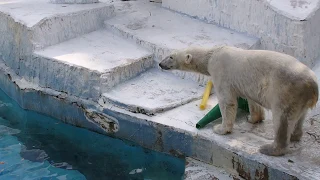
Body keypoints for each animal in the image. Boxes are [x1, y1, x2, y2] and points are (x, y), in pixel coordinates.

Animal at [159, 46, 318, 156]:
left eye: (171, 57)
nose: (160, 64)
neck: (212, 54)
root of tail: (313, 85)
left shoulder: (221, 71)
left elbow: (227, 101)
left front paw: (220, 129)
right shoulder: (250, 85)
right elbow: (252, 101)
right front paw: (252, 118)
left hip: (285, 90)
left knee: (281, 119)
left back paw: (269, 148)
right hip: (299, 98)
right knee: (299, 116)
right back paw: (295, 135)